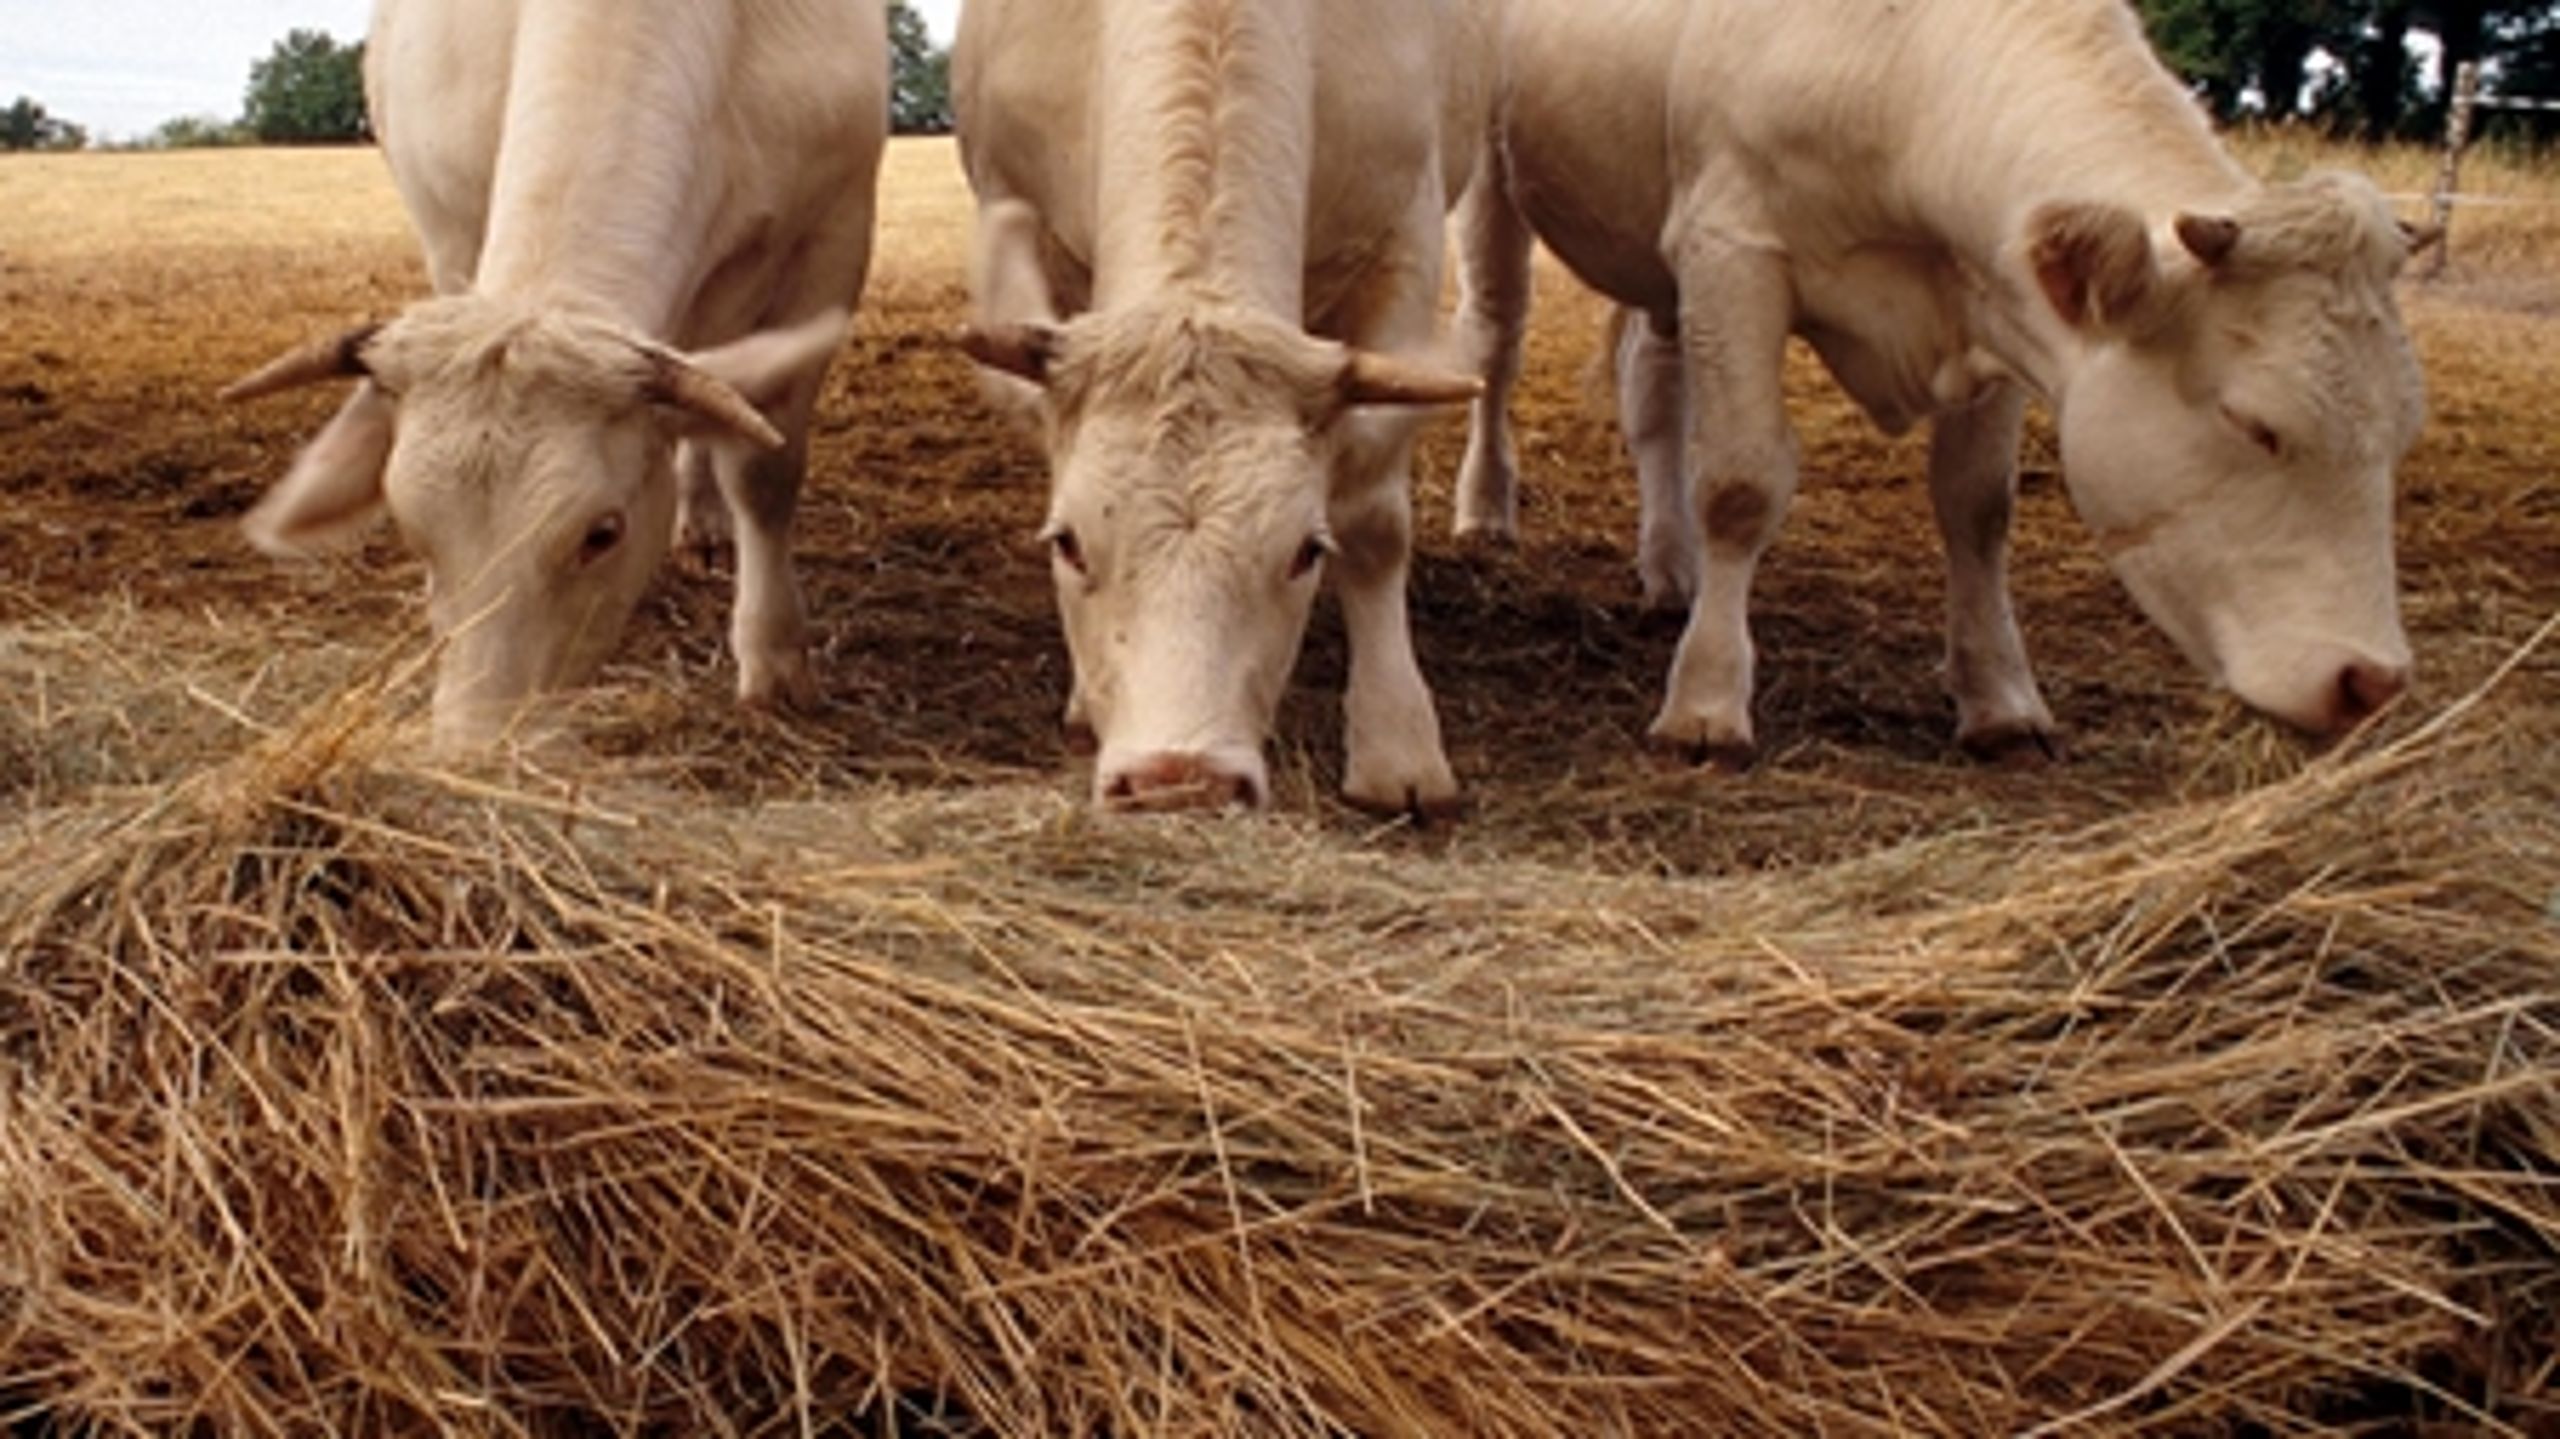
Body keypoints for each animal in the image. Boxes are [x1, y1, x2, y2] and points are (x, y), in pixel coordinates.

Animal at [215, 2, 890, 752]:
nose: (477, 751)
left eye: (603, 533)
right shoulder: (452, 235)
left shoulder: (831, 238)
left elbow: (764, 473)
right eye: (412, 531)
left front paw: (773, 660)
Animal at [952, 0, 1495, 814]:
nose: (1179, 779)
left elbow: (1373, 516)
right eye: (1066, 543)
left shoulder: (1408, 233)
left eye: (1307, 551)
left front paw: (1398, 744)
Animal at [1454, 0, 2426, 763]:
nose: (2370, 680)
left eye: (2398, 435)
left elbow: (1977, 507)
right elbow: (1739, 485)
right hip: (1497, 183)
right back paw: (1488, 510)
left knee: (1655, 391)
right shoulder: (1733, 249)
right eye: (2253, 423)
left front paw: (2001, 700)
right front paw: (1705, 703)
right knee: (1496, 348)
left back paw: (1671, 567)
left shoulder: (1993, 302)